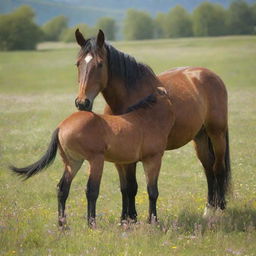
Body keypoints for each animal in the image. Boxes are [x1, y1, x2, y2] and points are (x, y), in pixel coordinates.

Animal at [10, 88, 174, 228]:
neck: (147, 120)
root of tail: (61, 126)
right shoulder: (152, 159)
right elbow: (152, 191)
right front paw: (153, 221)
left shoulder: (124, 163)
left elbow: (127, 189)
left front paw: (129, 221)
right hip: (95, 161)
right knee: (91, 190)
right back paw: (91, 224)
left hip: (73, 162)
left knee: (62, 188)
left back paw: (62, 225)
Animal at [73, 29, 230, 222]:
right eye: (78, 63)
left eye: (100, 64)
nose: (82, 102)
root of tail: (211, 75)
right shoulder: (120, 155)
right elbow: (126, 188)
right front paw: (126, 219)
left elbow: (133, 187)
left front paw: (133, 219)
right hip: (199, 137)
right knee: (208, 168)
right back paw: (209, 209)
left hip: (217, 133)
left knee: (218, 168)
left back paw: (220, 209)